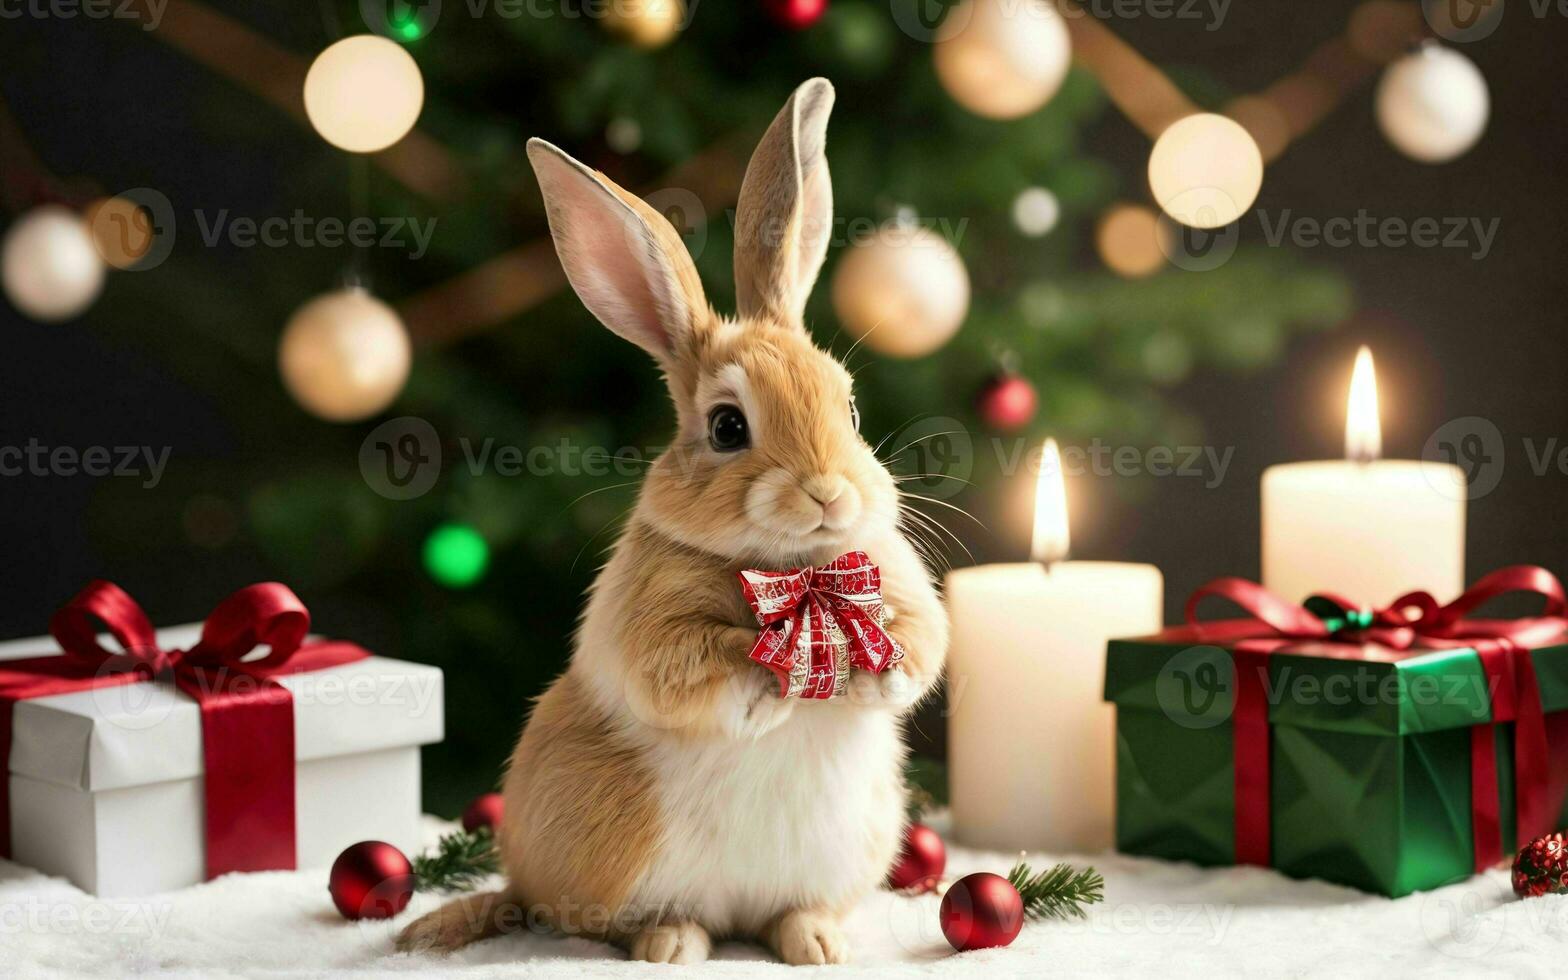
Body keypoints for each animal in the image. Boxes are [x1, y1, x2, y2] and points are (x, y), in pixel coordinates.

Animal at [398, 76, 947, 965]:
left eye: (852, 409)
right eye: (727, 427)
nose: (831, 495)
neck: (796, 573)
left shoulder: (898, 584)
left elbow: (922, 643)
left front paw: (874, 669)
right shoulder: (650, 625)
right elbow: (684, 665)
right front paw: (772, 676)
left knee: (788, 913)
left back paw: (817, 943)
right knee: (624, 920)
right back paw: (673, 944)